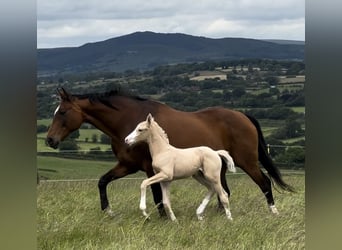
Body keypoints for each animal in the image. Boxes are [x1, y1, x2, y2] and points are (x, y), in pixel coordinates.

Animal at [44, 88, 292, 217]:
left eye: (63, 112)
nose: (49, 140)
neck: (126, 121)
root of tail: (243, 116)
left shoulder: (148, 169)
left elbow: (156, 195)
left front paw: (160, 218)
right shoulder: (127, 166)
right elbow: (102, 181)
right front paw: (108, 211)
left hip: (247, 161)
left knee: (264, 183)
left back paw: (273, 212)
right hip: (217, 168)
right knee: (224, 191)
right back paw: (219, 214)